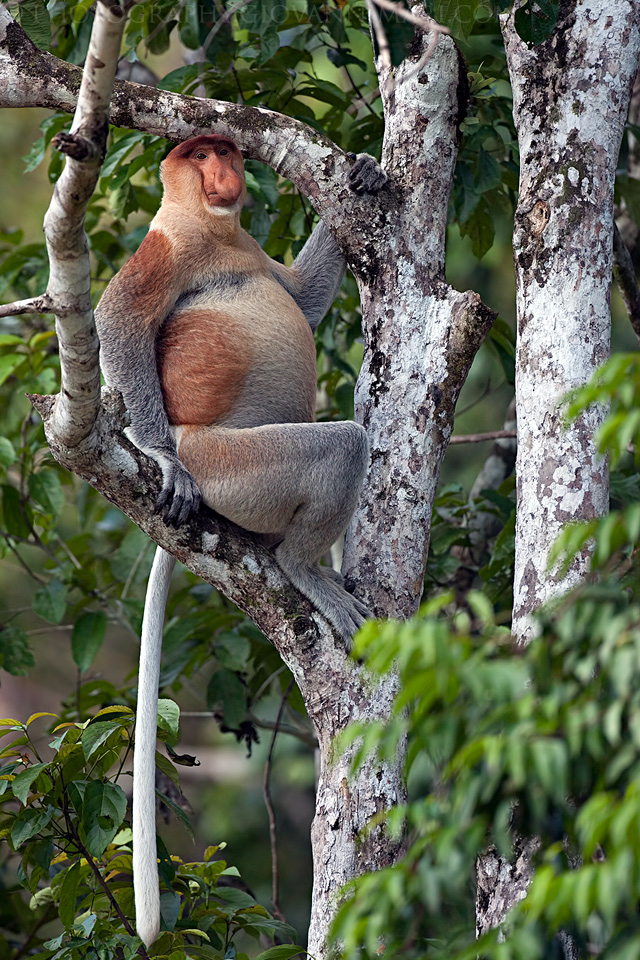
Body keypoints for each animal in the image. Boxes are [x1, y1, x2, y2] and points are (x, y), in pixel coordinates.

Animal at [94, 133, 386, 946]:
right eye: (201, 154)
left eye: (227, 149)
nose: (226, 172)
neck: (217, 230)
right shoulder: (169, 245)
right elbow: (116, 317)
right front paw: (155, 457)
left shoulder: (250, 249)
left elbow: (300, 295)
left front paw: (362, 172)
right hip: (231, 467)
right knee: (343, 445)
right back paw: (306, 570)